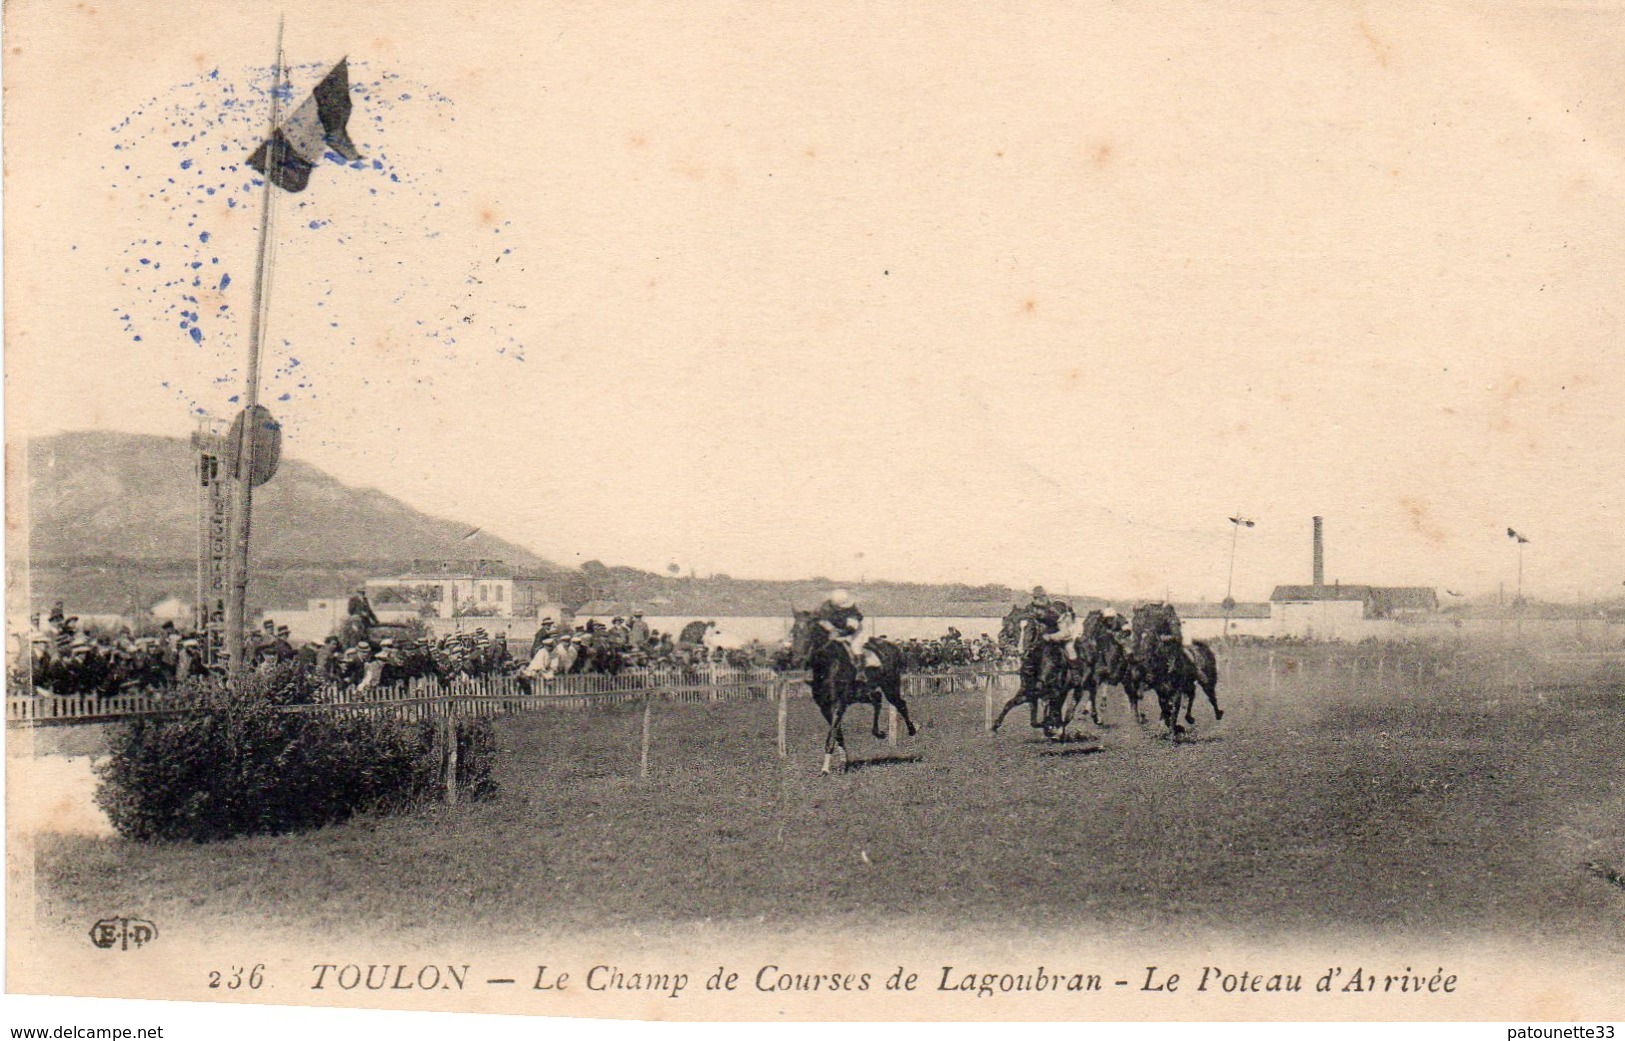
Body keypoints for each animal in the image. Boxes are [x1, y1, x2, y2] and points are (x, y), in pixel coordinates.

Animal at [793, 610, 923, 773]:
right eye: (793, 632)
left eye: (810, 632)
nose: (797, 659)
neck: (828, 664)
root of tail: (893, 647)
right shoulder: (825, 707)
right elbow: (837, 734)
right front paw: (844, 762)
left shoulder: (838, 704)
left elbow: (832, 734)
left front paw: (825, 769)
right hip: (862, 694)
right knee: (877, 698)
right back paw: (878, 732)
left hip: (890, 686)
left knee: (900, 704)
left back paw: (912, 729)